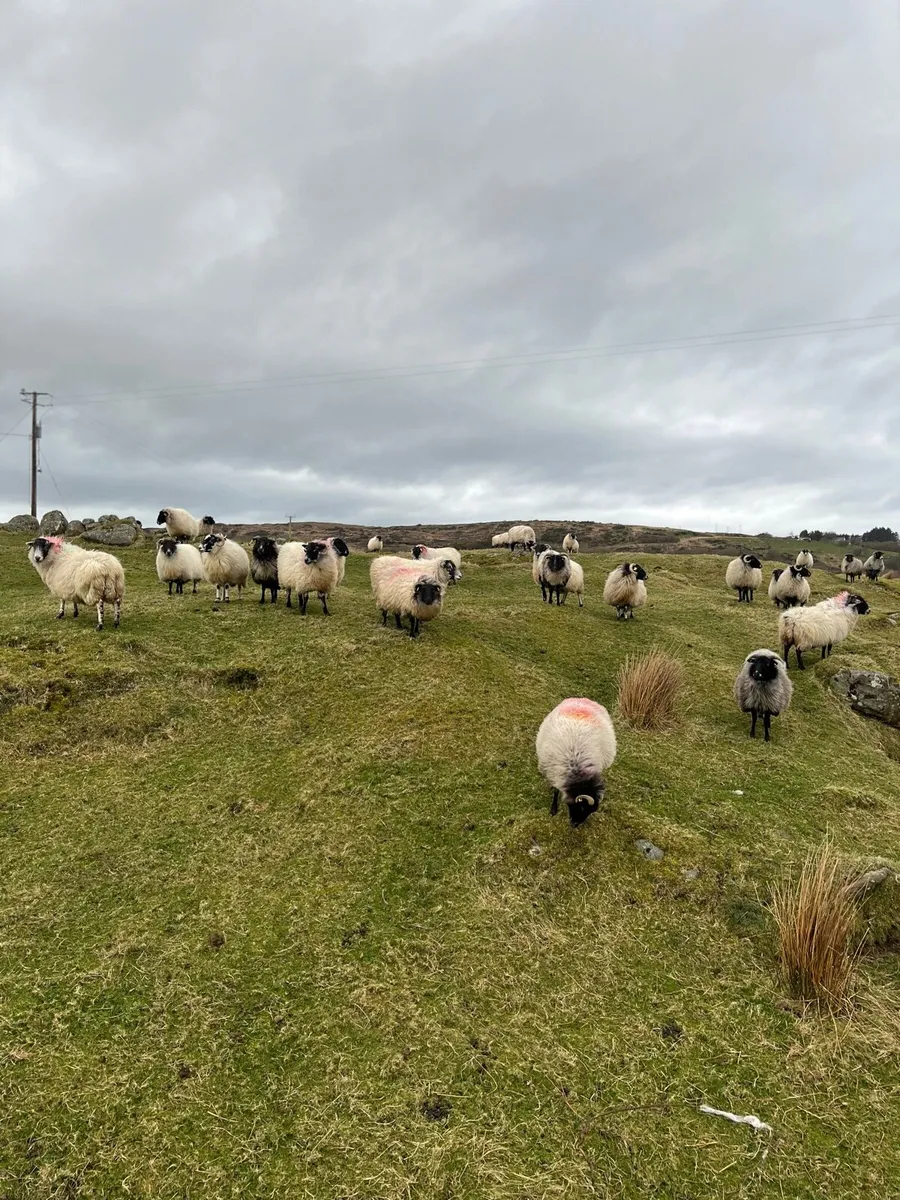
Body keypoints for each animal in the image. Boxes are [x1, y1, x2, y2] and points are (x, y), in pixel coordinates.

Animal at [535, 697, 617, 826]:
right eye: (582, 807)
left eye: (590, 812)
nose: (574, 825)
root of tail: (581, 699)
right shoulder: (554, 770)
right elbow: (556, 790)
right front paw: (553, 809)